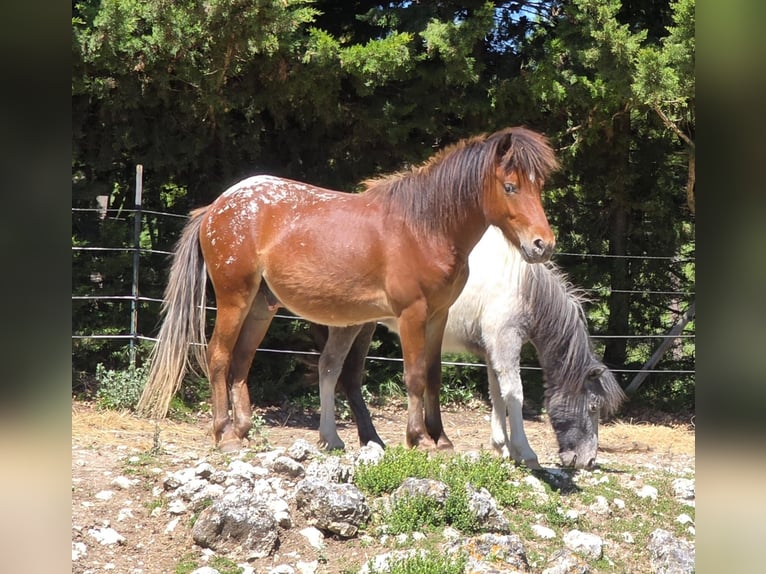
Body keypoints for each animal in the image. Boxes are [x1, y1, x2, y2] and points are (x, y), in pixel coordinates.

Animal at [137, 127, 559, 453]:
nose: (543, 244)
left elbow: (433, 374)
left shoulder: (438, 316)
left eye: (539, 186)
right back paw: (225, 435)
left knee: (241, 362)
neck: (423, 227)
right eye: (510, 186)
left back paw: (243, 431)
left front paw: (442, 440)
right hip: (233, 298)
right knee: (219, 356)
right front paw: (419, 438)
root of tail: (215, 207)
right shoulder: (412, 314)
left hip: (261, 305)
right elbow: (414, 375)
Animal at [315, 226, 626, 469]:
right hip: (350, 325)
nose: (588, 461)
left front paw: (502, 447)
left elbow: (496, 394)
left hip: (365, 324)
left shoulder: (492, 349)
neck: (523, 288)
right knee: (333, 369)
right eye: (593, 407)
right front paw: (524, 452)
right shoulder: (505, 342)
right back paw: (336, 438)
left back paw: (371, 440)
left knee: (350, 377)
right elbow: (514, 393)